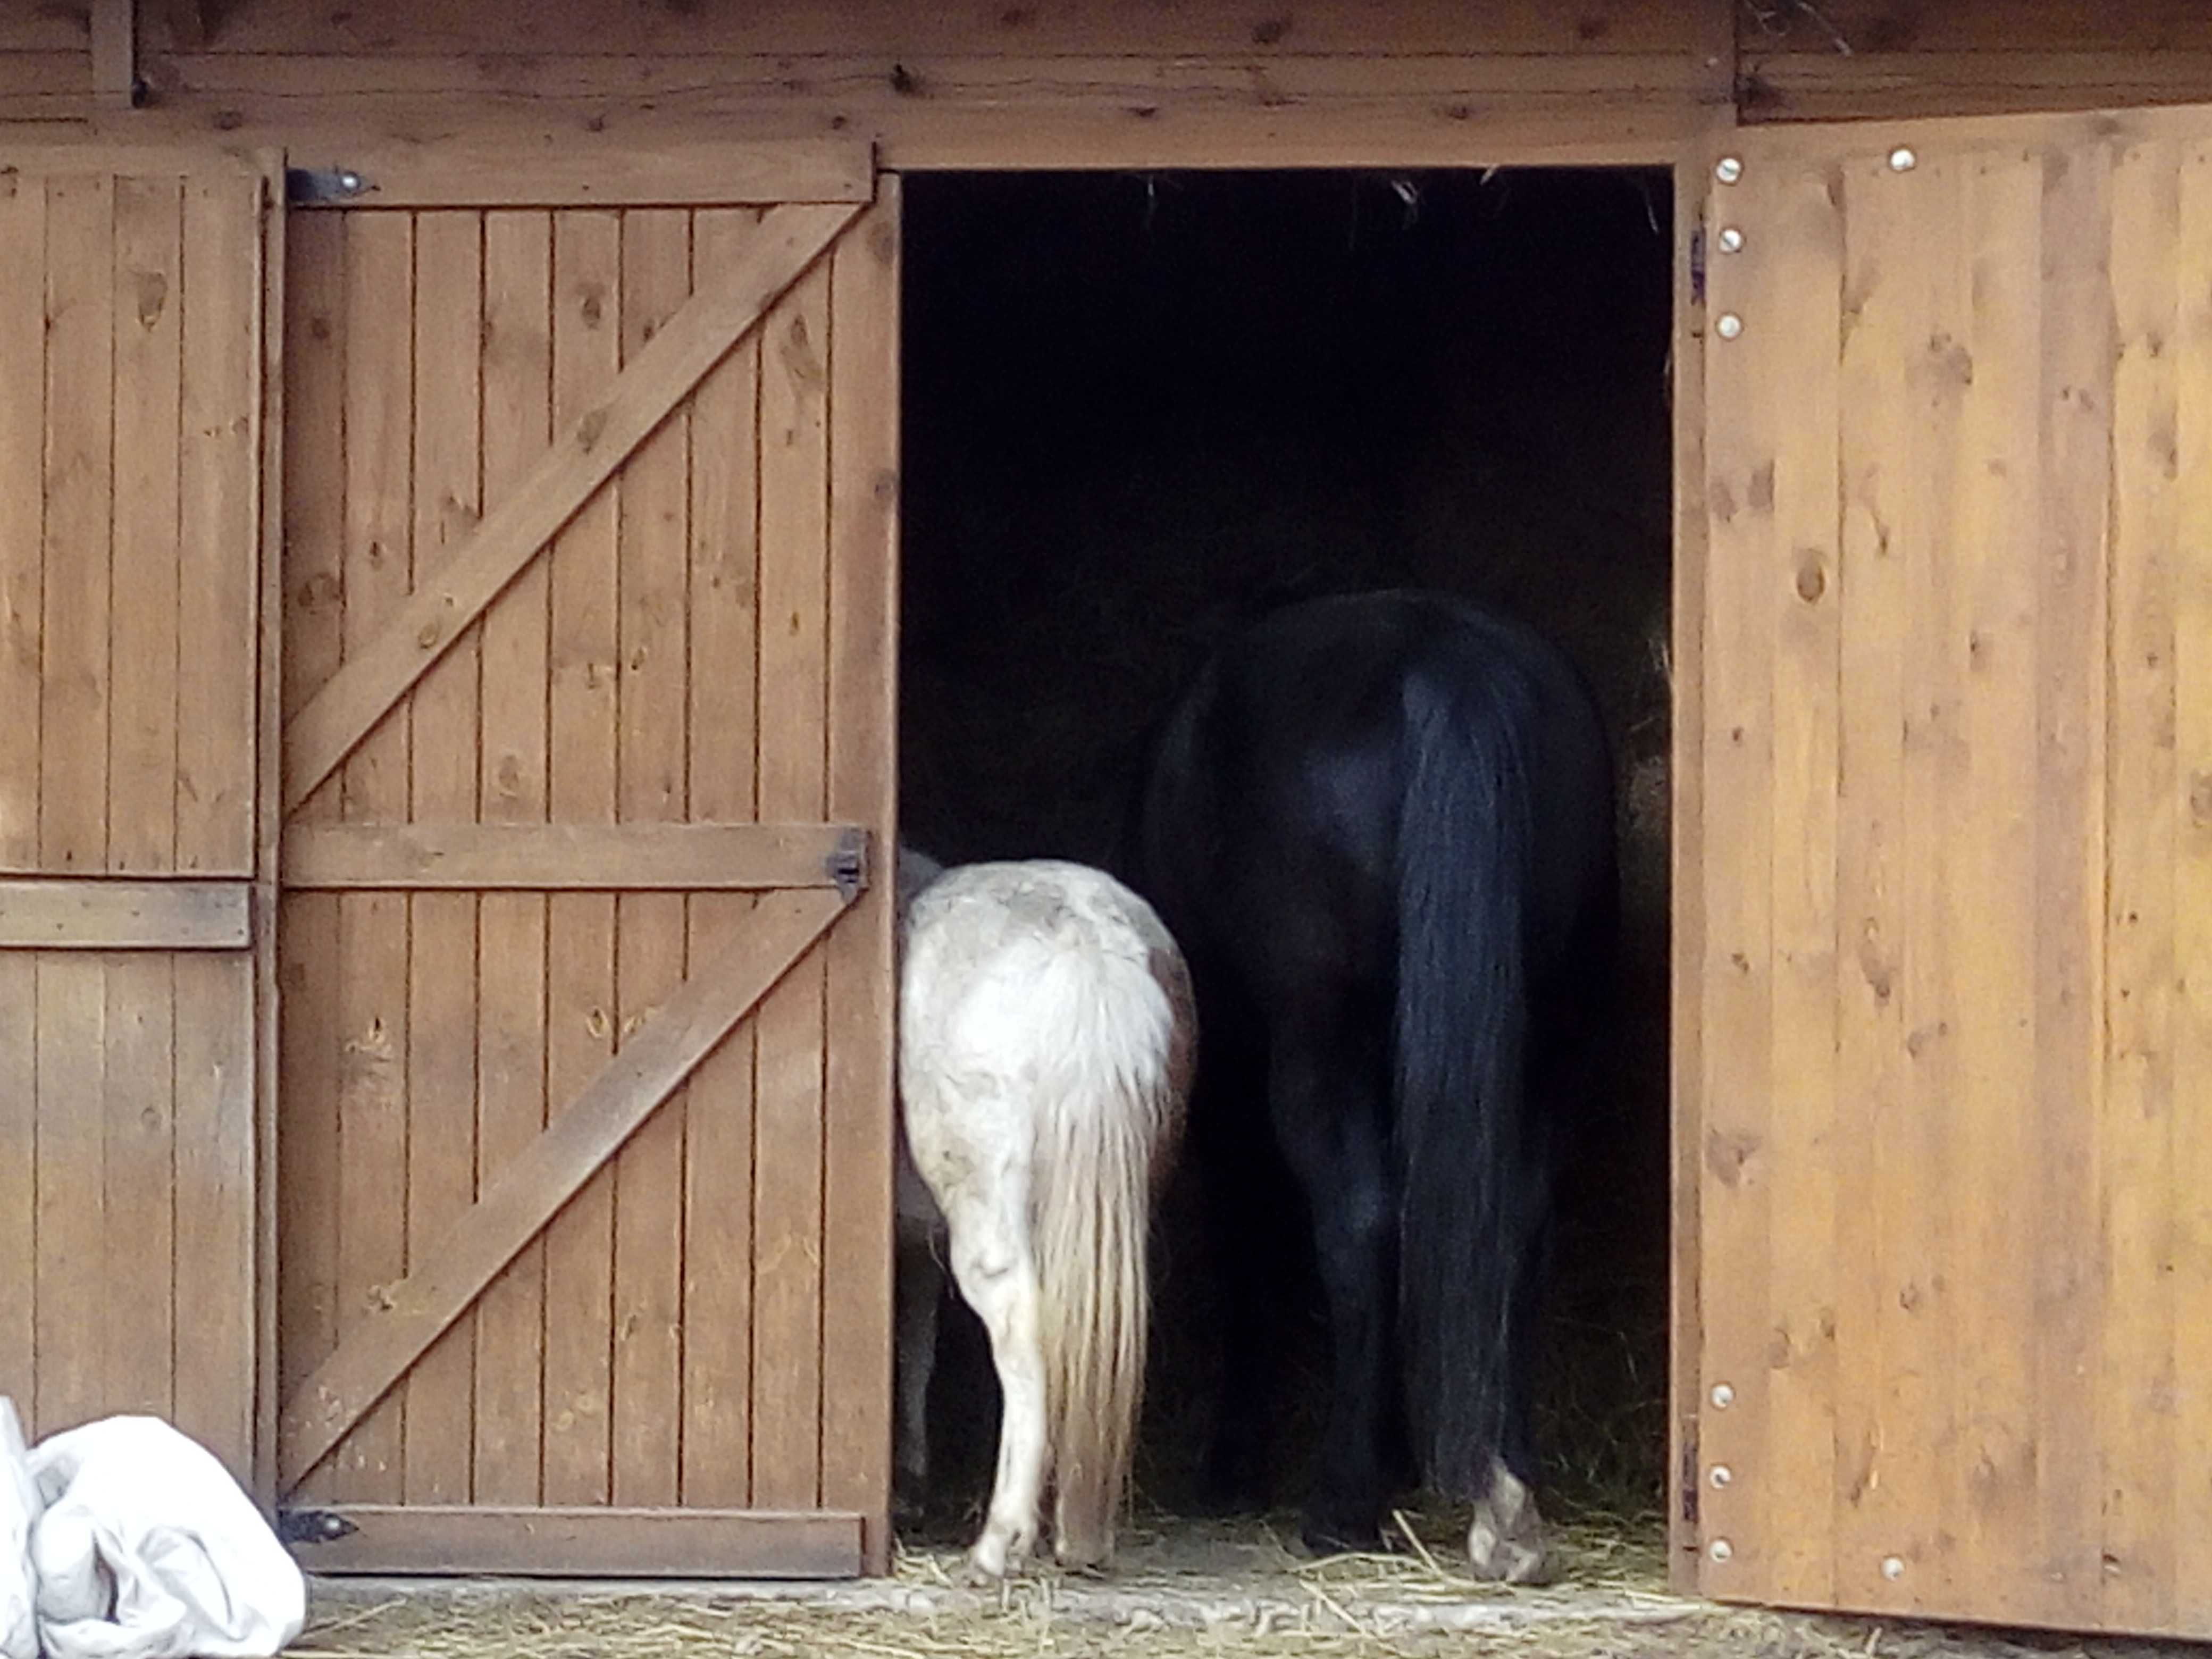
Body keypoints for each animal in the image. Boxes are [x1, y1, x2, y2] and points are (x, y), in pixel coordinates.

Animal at [1132, 588, 1619, 1583]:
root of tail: (1444, 661)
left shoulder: (1234, 1076)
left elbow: (1253, 1244)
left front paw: (1237, 1463)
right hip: (1544, 1034)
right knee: (1510, 1224)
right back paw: (1506, 1505)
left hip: (1321, 1044)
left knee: (1360, 1223)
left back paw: (1342, 1506)